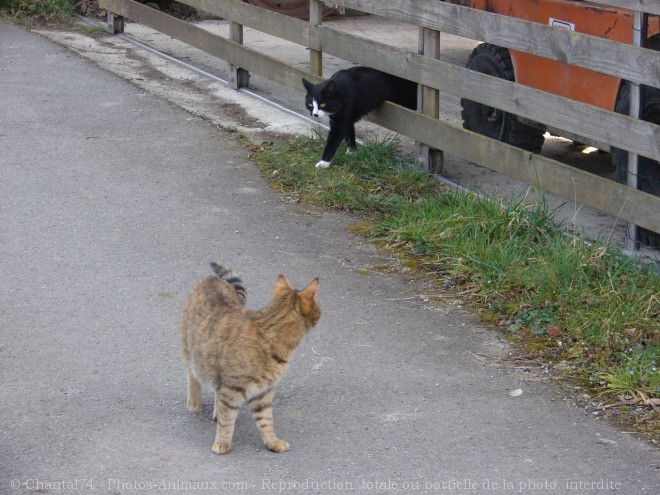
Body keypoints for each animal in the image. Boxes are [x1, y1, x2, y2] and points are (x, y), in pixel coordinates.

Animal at [180, 264, 320, 454]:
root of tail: (210, 279)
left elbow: (266, 421)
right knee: (192, 372)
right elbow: (227, 421)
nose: (320, 314)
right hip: (189, 347)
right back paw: (194, 401)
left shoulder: (263, 393)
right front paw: (222, 442)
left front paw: (272, 442)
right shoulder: (231, 389)